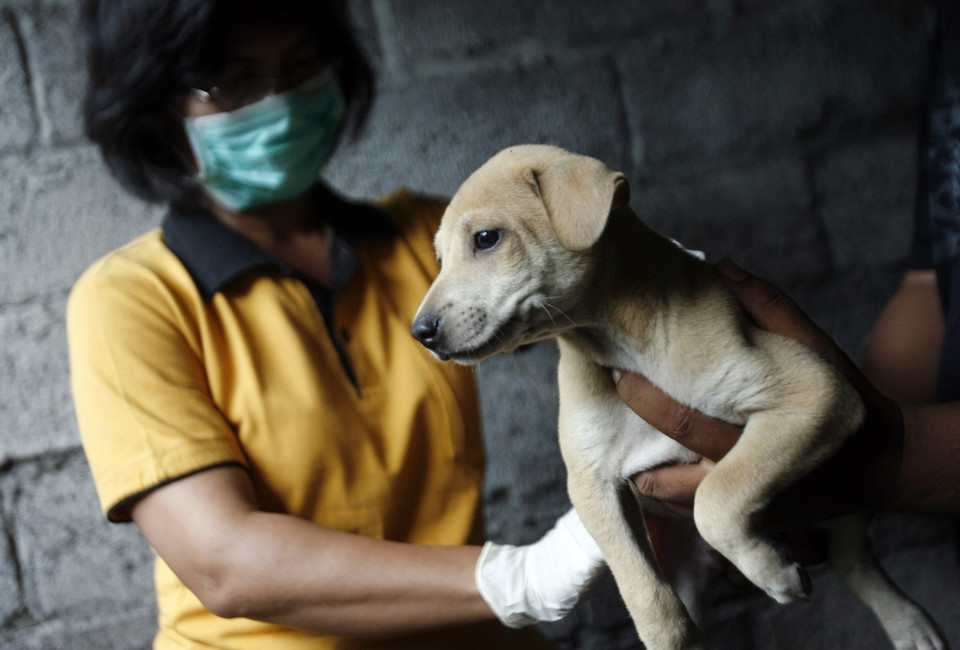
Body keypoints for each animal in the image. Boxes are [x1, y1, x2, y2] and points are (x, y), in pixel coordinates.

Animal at [412, 146, 944, 648]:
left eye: (486, 239)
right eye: (439, 259)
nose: (421, 333)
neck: (619, 340)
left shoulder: (817, 390)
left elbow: (716, 495)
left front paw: (772, 570)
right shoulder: (592, 484)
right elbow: (647, 596)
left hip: (846, 496)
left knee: (853, 556)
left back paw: (910, 623)